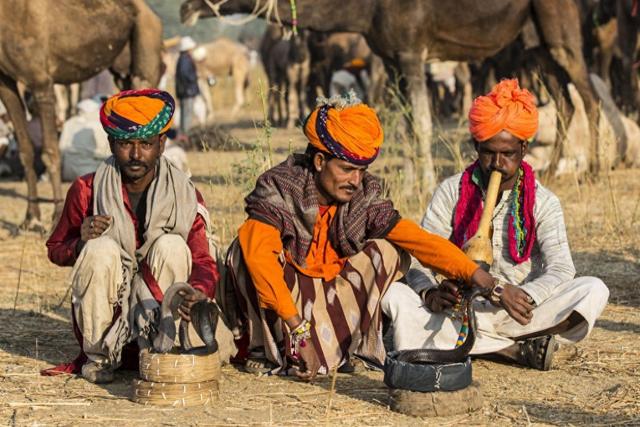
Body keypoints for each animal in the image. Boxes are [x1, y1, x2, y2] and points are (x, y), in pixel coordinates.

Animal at [0, 0, 164, 229]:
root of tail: (153, 16)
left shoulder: (41, 82)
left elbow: (51, 151)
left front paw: (56, 216)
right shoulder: (5, 82)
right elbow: (26, 150)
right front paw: (31, 218)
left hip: (146, 45)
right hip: (122, 71)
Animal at [182, 0, 604, 192]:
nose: (185, 7)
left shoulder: (411, 52)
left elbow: (421, 123)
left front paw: (427, 182)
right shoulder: (392, 59)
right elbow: (402, 125)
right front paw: (409, 181)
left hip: (557, 30)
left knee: (587, 94)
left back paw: (595, 169)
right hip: (534, 42)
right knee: (564, 101)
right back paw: (553, 169)